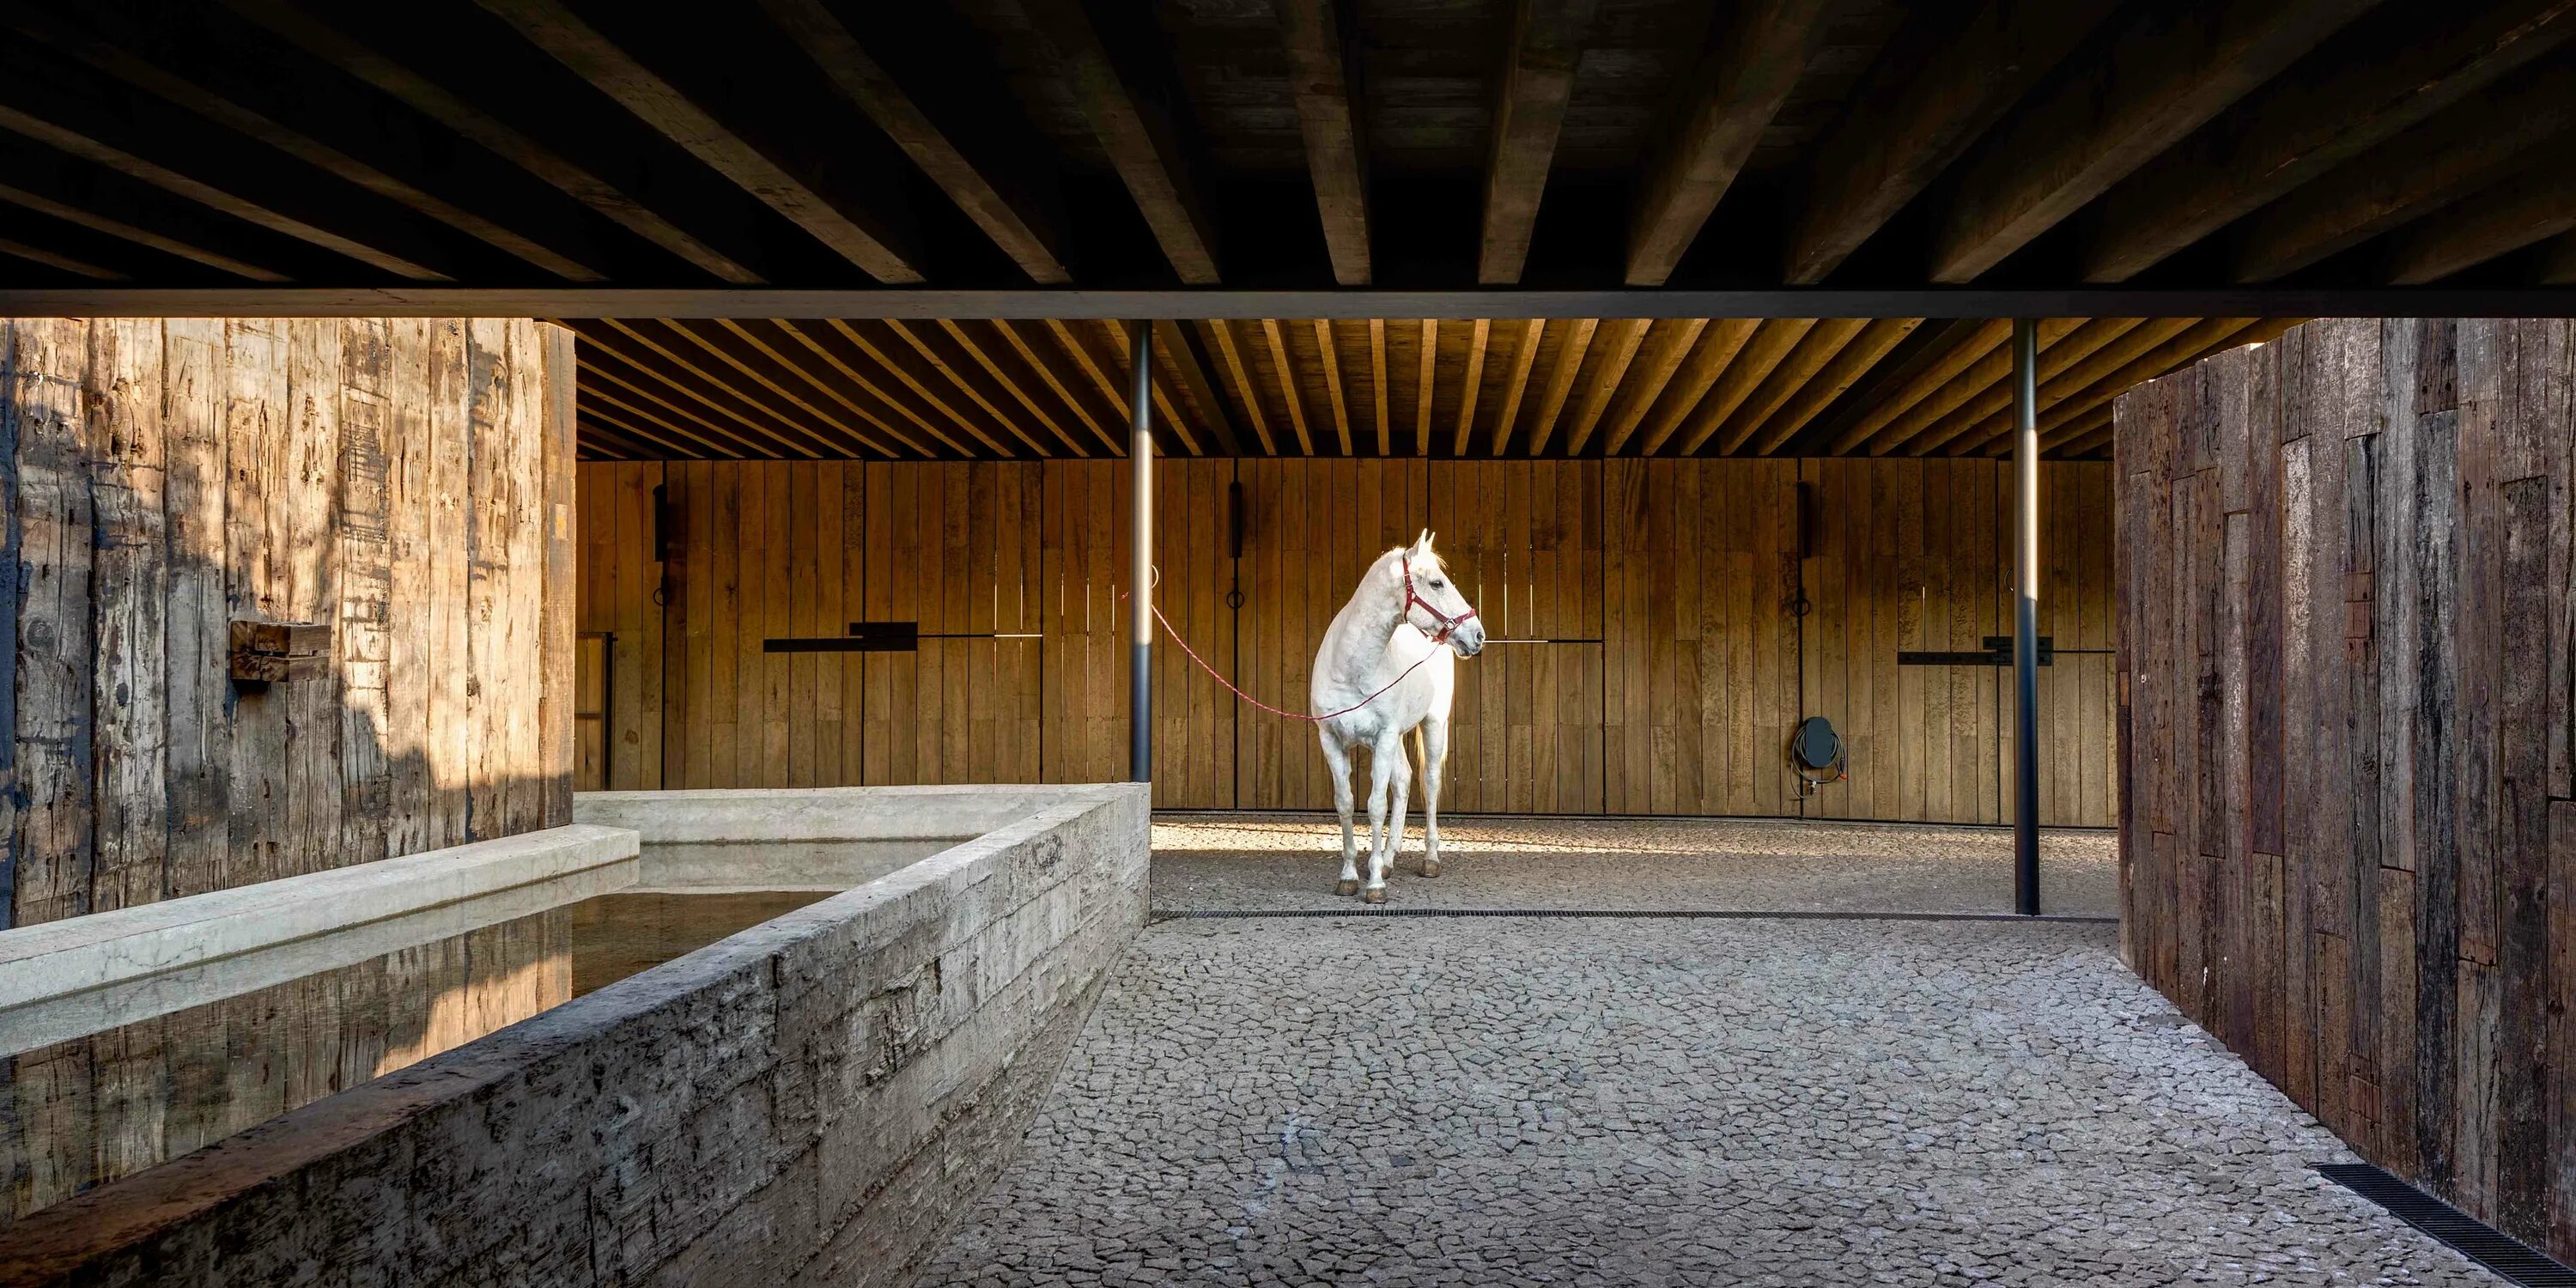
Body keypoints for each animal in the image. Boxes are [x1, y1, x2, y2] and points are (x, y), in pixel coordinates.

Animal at [1319, 528, 1484, 902]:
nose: (1478, 635)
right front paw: (1350, 876)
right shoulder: (1332, 740)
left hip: (1432, 725)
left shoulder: (1383, 738)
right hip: (1393, 741)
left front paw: (1374, 885)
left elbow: (1376, 805)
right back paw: (1389, 858)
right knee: (1405, 779)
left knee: (1429, 782)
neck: (1352, 670)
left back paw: (1429, 860)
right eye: (1437, 583)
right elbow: (1345, 803)